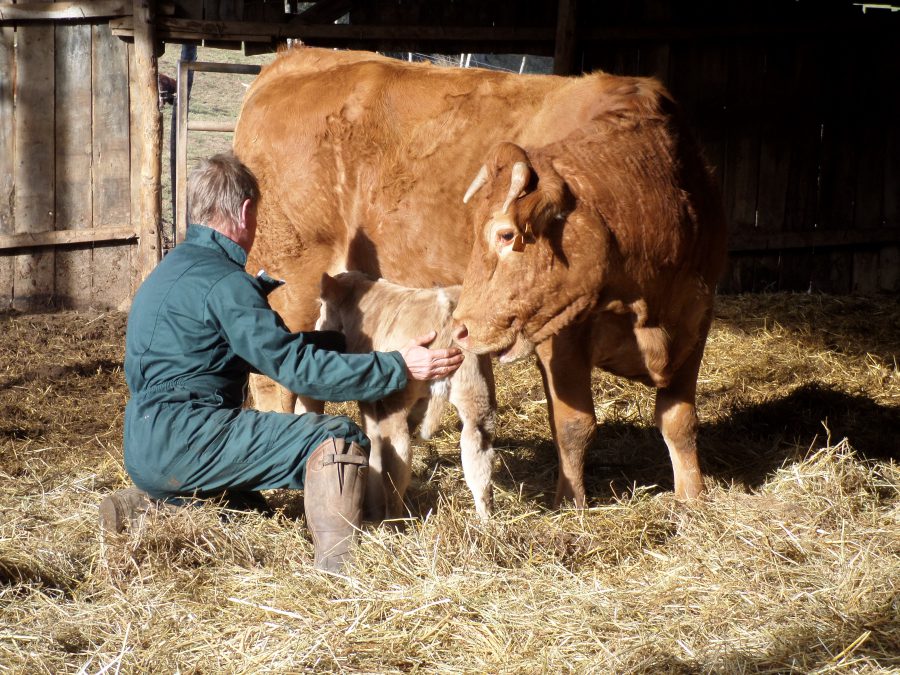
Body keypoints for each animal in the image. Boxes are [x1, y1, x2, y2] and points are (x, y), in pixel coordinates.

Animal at [318, 272, 500, 520]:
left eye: (322, 305)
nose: (318, 326)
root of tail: (445, 314)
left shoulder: (369, 402)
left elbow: (373, 442)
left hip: (393, 407)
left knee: (397, 458)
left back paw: (391, 520)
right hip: (478, 398)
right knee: (478, 458)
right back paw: (486, 521)